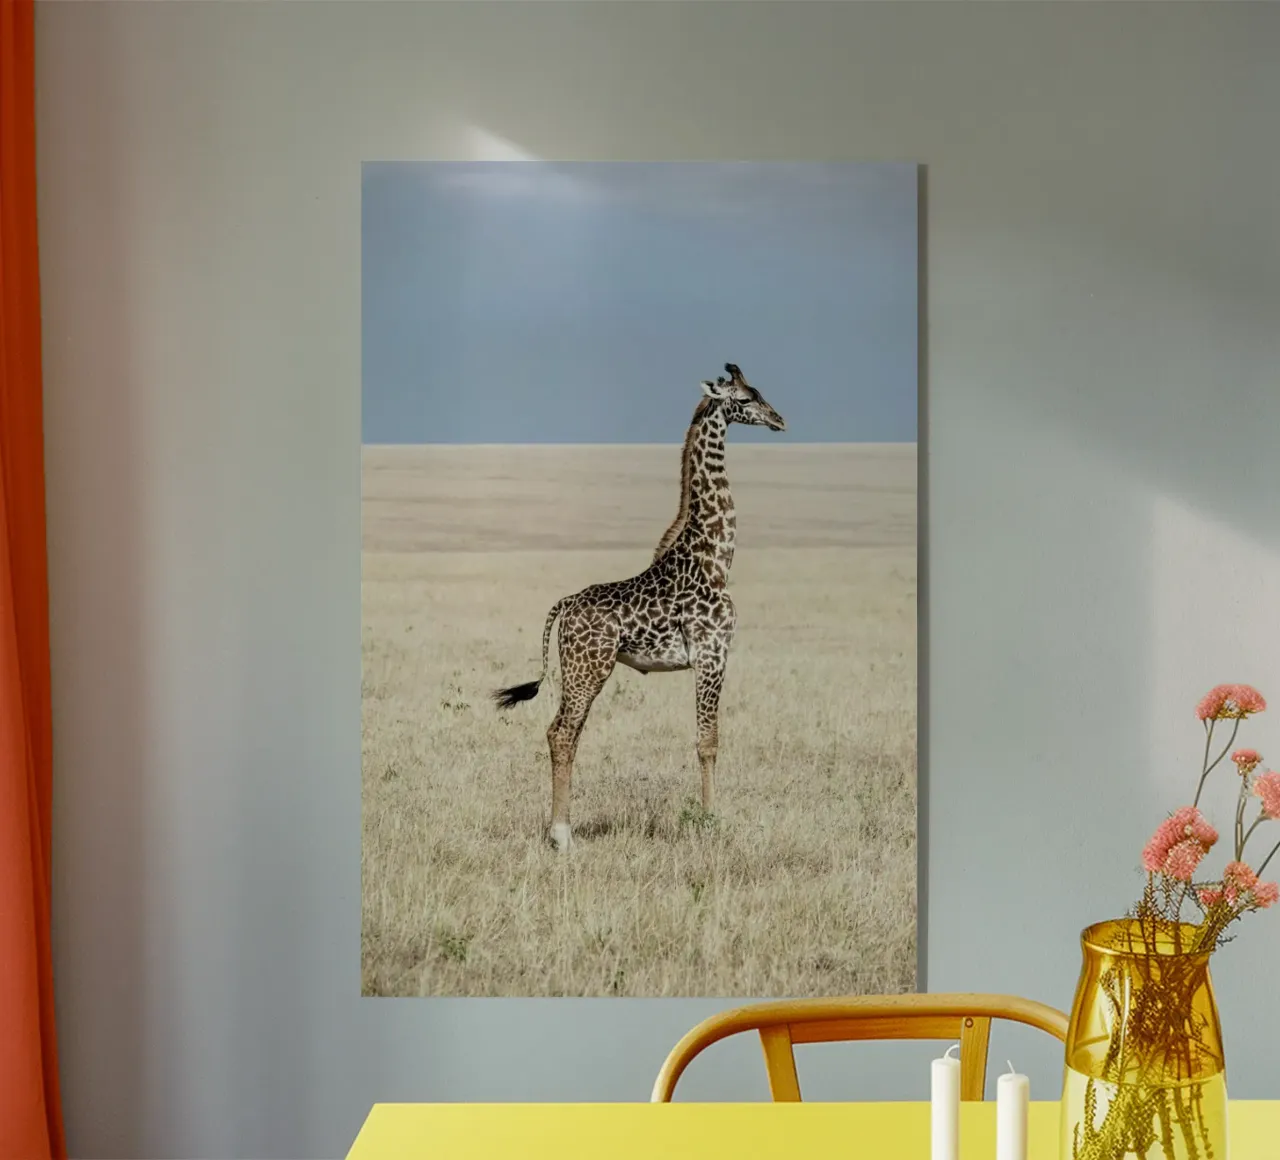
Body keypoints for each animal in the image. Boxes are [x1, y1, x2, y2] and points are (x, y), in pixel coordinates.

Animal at [491, 363, 787, 851]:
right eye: (744, 399)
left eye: (760, 393)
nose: (779, 420)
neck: (715, 558)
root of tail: (564, 605)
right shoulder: (712, 654)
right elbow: (708, 742)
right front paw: (710, 822)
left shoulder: (712, 657)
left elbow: (707, 739)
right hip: (587, 669)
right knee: (562, 733)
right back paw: (561, 836)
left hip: (581, 671)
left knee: (563, 733)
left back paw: (562, 830)